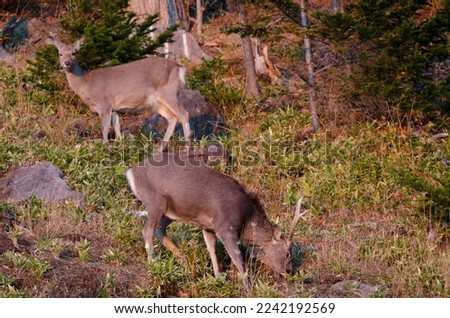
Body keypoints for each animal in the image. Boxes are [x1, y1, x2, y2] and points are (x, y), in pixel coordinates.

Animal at [47, 36, 190, 151]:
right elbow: (116, 127)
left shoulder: (104, 104)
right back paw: (161, 148)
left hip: (169, 92)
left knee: (183, 114)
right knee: (172, 117)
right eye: (60, 53)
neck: (86, 83)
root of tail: (179, 67)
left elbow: (105, 128)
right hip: (156, 102)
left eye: (74, 52)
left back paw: (187, 147)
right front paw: (119, 146)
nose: (66, 63)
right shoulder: (114, 108)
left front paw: (105, 147)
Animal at [125, 152, 304, 290]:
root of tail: (130, 172)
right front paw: (248, 287)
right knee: (147, 231)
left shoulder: (207, 226)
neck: (246, 218)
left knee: (159, 229)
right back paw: (155, 264)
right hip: (155, 202)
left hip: (171, 211)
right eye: (287, 253)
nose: (289, 271)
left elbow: (212, 249)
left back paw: (183, 260)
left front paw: (218, 278)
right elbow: (237, 257)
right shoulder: (225, 226)